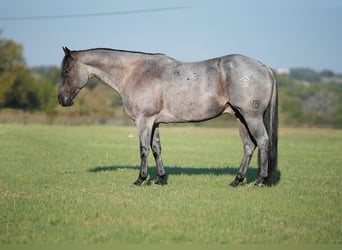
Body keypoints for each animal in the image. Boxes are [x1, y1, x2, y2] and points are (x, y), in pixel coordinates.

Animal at [58, 47, 278, 188]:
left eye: (67, 70)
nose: (62, 99)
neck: (135, 72)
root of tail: (264, 67)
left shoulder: (143, 120)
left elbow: (143, 149)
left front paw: (140, 179)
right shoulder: (154, 122)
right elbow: (156, 149)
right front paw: (159, 179)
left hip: (252, 117)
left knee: (263, 142)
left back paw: (260, 180)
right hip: (240, 118)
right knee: (249, 146)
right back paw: (236, 181)